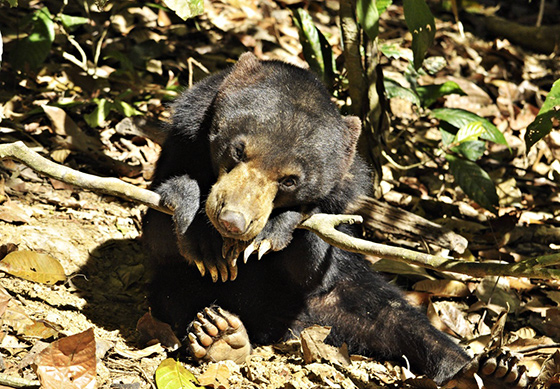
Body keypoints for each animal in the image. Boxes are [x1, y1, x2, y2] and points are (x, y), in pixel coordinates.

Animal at [142, 53, 528, 386]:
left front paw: (272, 232)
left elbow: (314, 260)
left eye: (289, 181)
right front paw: (204, 239)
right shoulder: (181, 140)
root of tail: (293, 327)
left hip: (345, 296)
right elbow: (159, 232)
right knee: (179, 296)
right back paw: (220, 335)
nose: (232, 220)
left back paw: (495, 372)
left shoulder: (344, 195)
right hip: (181, 290)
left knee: (402, 322)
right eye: (238, 150)